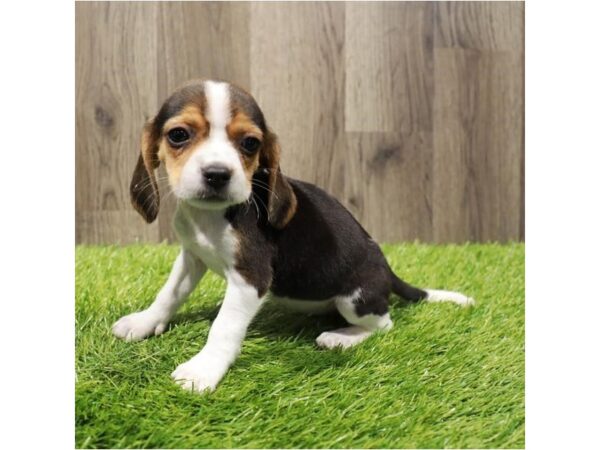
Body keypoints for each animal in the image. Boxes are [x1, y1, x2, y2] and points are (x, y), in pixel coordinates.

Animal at [112, 79, 474, 392]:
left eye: (250, 143)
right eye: (178, 135)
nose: (217, 174)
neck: (210, 216)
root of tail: (387, 270)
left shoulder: (251, 277)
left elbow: (224, 327)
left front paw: (203, 369)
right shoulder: (192, 257)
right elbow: (168, 294)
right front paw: (144, 323)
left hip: (355, 300)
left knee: (384, 324)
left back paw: (340, 337)